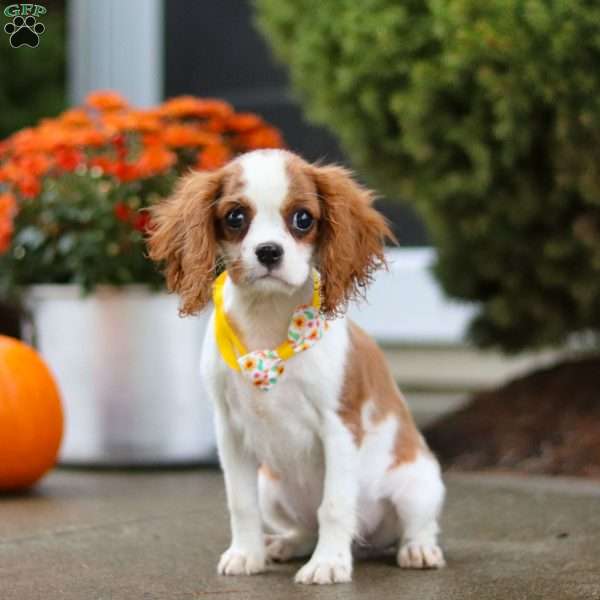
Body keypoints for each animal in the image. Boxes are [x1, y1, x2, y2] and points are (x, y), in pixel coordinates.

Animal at [148, 148, 442, 584]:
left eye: (303, 219)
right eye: (236, 217)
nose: (269, 251)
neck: (268, 320)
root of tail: (369, 540)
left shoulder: (339, 427)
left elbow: (334, 505)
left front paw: (329, 564)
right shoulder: (229, 430)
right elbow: (240, 503)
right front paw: (246, 554)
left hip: (418, 484)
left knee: (417, 525)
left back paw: (418, 549)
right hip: (271, 488)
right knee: (305, 527)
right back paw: (285, 544)